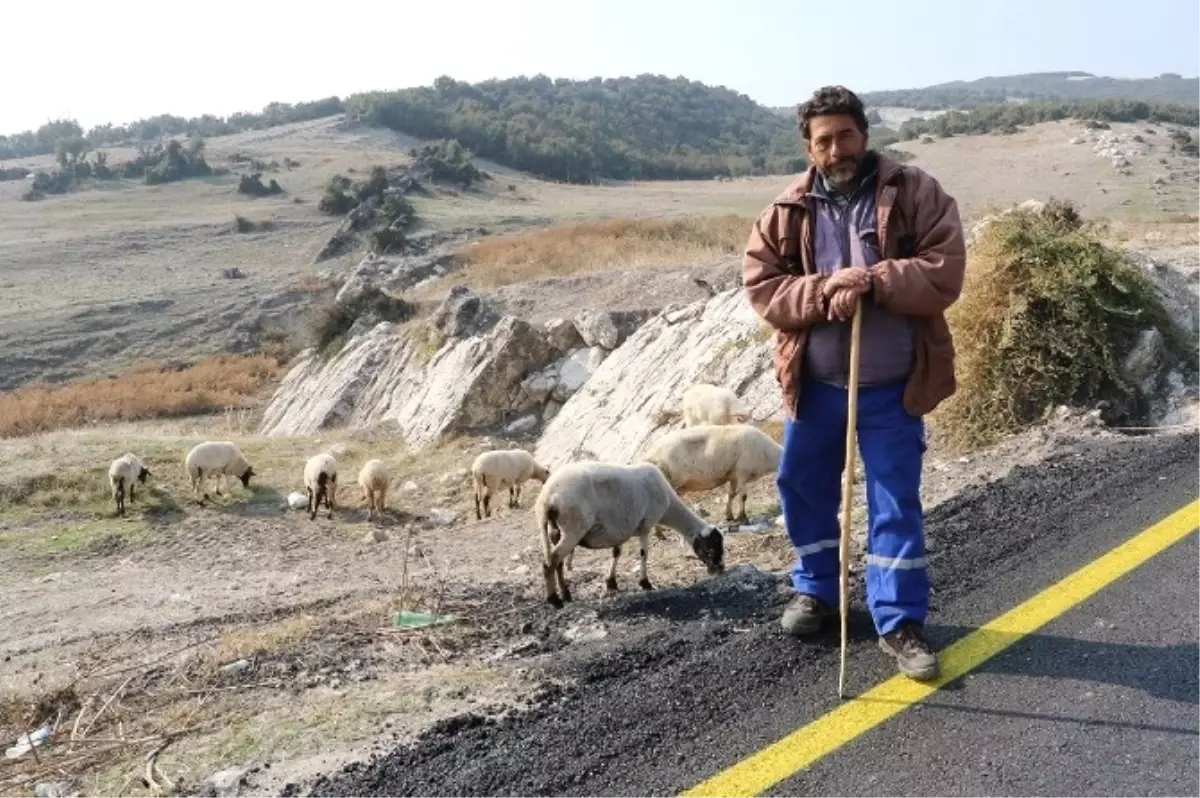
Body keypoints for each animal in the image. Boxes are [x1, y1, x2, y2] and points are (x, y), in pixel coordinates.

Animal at [532, 458, 720, 607]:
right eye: (711, 547)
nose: (719, 569)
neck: (669, 506)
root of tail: (548, 497)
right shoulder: (646, 525)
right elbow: (644, 553)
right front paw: (645, 583)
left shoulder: (621, 528)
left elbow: (617, 552)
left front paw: (611, 582)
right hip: (573, 528)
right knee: (550, 563)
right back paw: (554, 599)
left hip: (555, 530)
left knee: (558, 563)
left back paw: (566, 594)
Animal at [643, 420, 782, 525]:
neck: (768, 453)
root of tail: (647, 455)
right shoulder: (742, 472)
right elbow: (743, 496)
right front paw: (743, 518)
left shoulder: (734, 475)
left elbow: (732, 494)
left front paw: (729, 516)